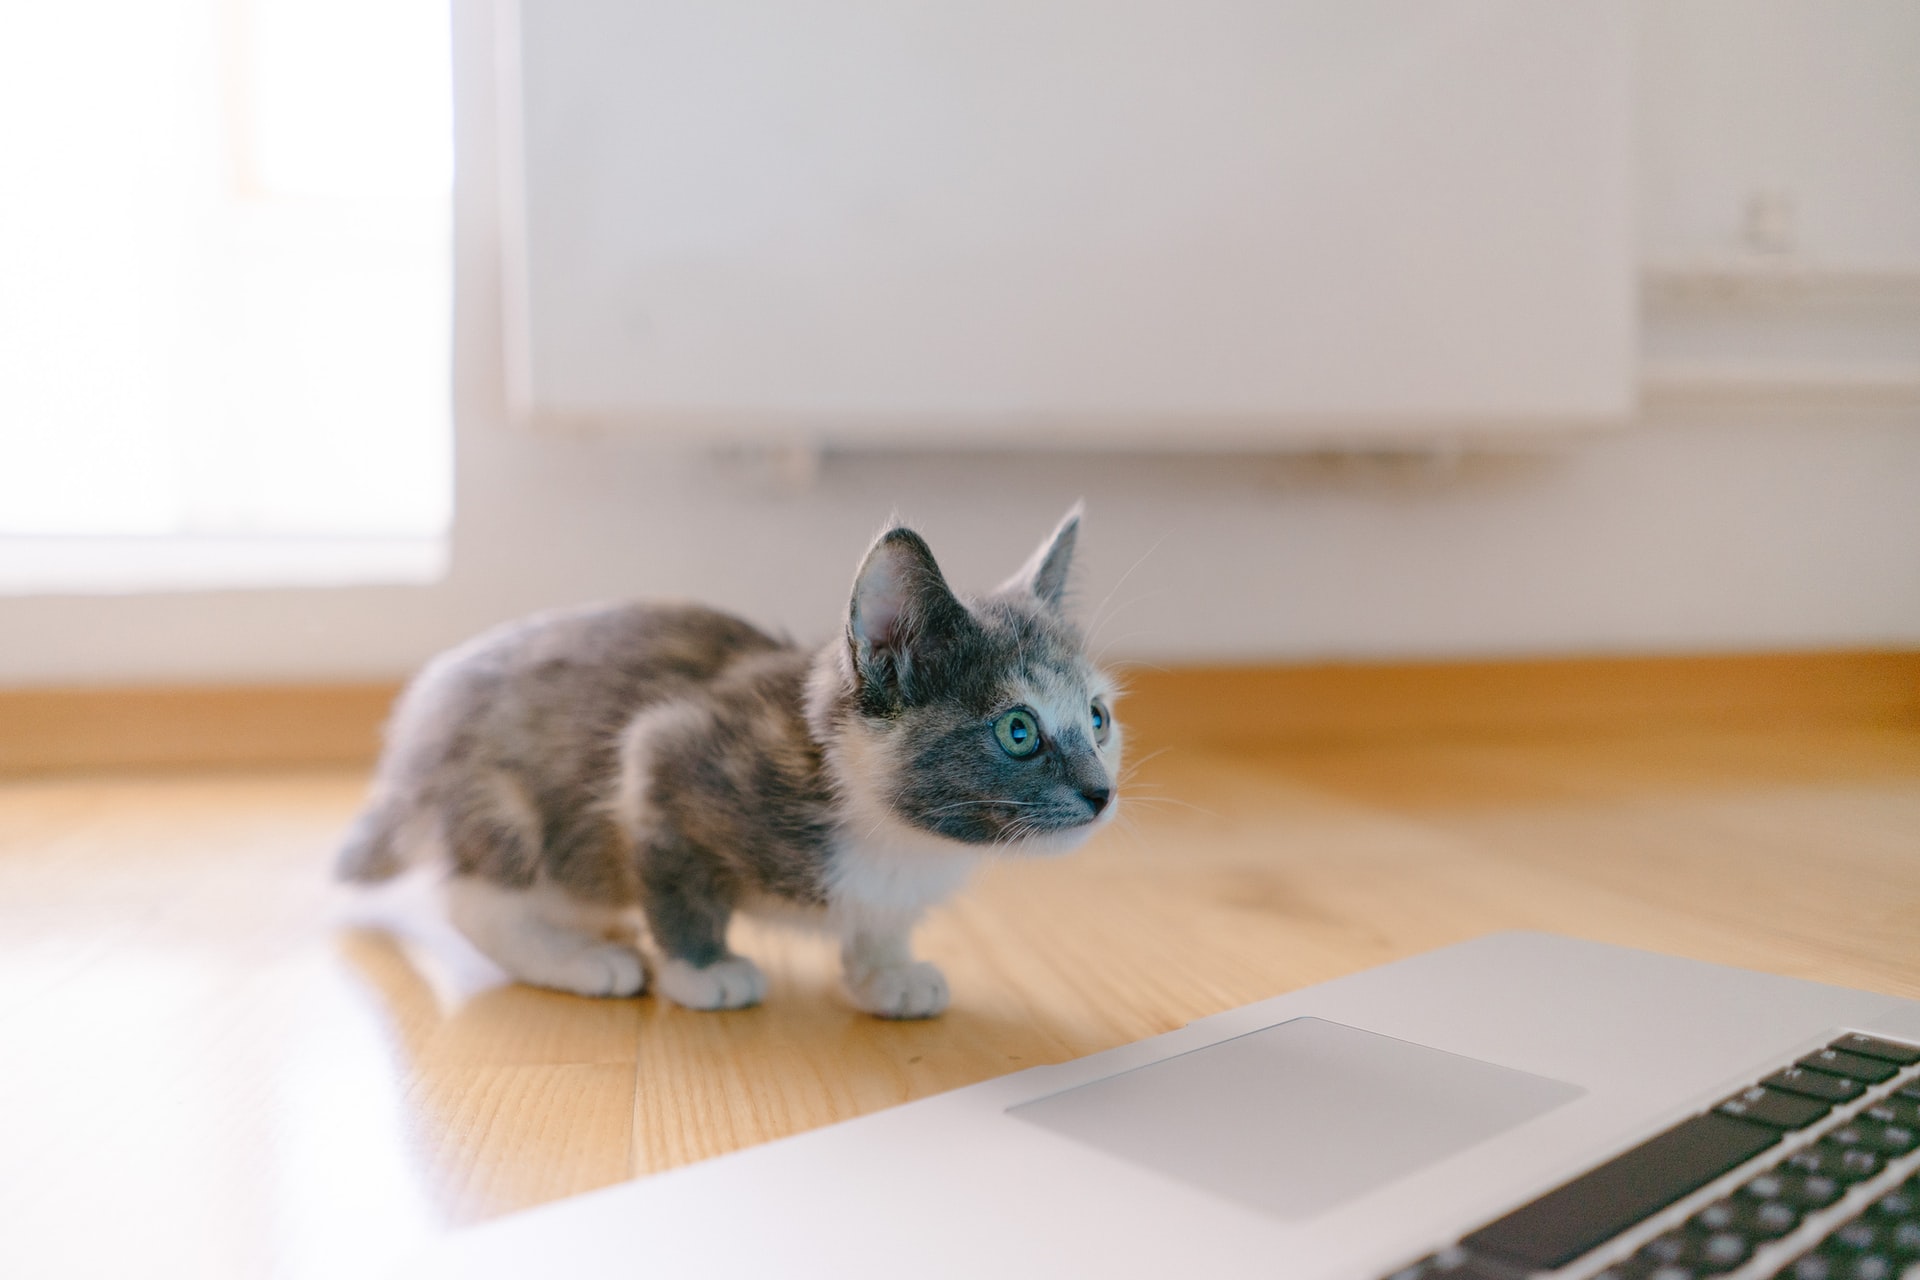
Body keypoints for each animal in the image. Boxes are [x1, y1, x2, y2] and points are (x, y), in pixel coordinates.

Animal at [337, 510, 1121, 1020]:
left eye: (1096, 718)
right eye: (1018, 731)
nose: (1102, 792)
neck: (895, 837)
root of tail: (408, 747)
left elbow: (880, 922)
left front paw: (886, 972)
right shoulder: (664, 756)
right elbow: (678, 881)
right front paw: (702, 970)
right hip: (509, 804)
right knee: (472, 896)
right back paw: (579, 958)